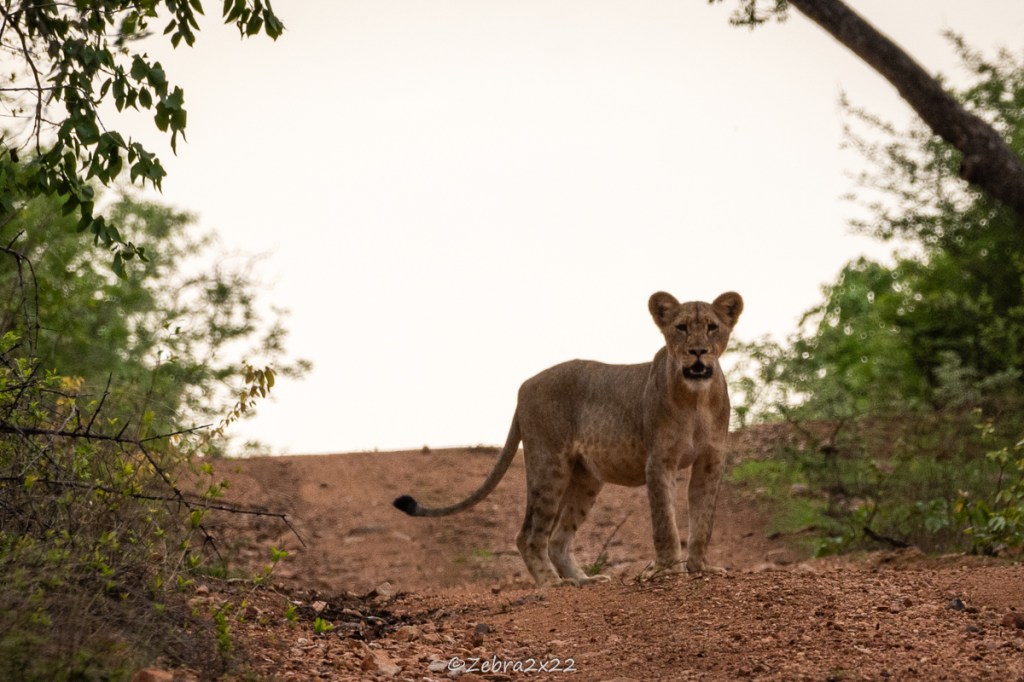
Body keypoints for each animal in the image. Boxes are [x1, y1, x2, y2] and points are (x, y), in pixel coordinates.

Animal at [394, 291, 743, 586]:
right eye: (681, 328)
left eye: (712, 327)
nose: (697, 351)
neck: (696, 399)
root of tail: (524, 387)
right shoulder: (659, 461)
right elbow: (665, 522)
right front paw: (669, 569)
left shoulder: (710, 461)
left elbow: (704, 519)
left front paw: (701, 567)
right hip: (550, 465)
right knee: (529, 535)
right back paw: (552, 583)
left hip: (584, 478)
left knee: (559, 538)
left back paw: (584, 580)